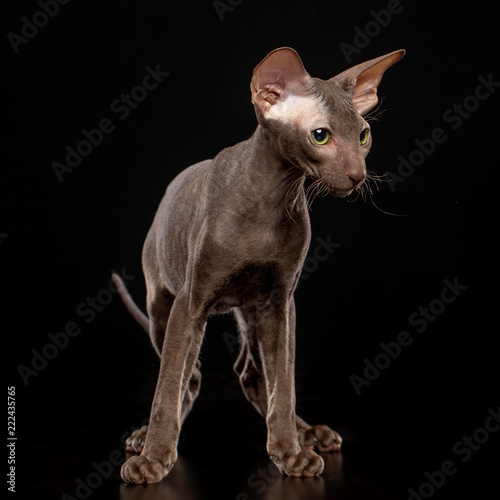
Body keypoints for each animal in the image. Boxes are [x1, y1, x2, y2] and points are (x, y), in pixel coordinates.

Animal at [112, 47, 402, 484]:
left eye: (364, 135)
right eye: (321, 135)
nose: (358, 175)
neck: (272, 196)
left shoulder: (280, 303)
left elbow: (283, 385)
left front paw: (290, 452)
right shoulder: (190, 302)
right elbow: (168, 385)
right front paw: (153, 457)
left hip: (251, 310)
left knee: (250, 372)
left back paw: (306, 433)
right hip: (161, 305)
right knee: (189, 375)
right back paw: (148, 437)